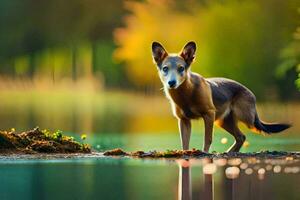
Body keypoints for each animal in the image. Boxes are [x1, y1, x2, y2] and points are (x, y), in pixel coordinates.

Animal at [152, 41, 290, 152]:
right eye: (165, 68)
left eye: (181, 68)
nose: (172, 83)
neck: (186, 95)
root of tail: (250, 92)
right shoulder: (184, 121)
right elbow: (184, 143)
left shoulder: (209, 114)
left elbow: (207, 139)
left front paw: (205, 153)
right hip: (223, 121)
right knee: (241, 137)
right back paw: (229, 153)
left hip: (245, 118)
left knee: (244, 134)